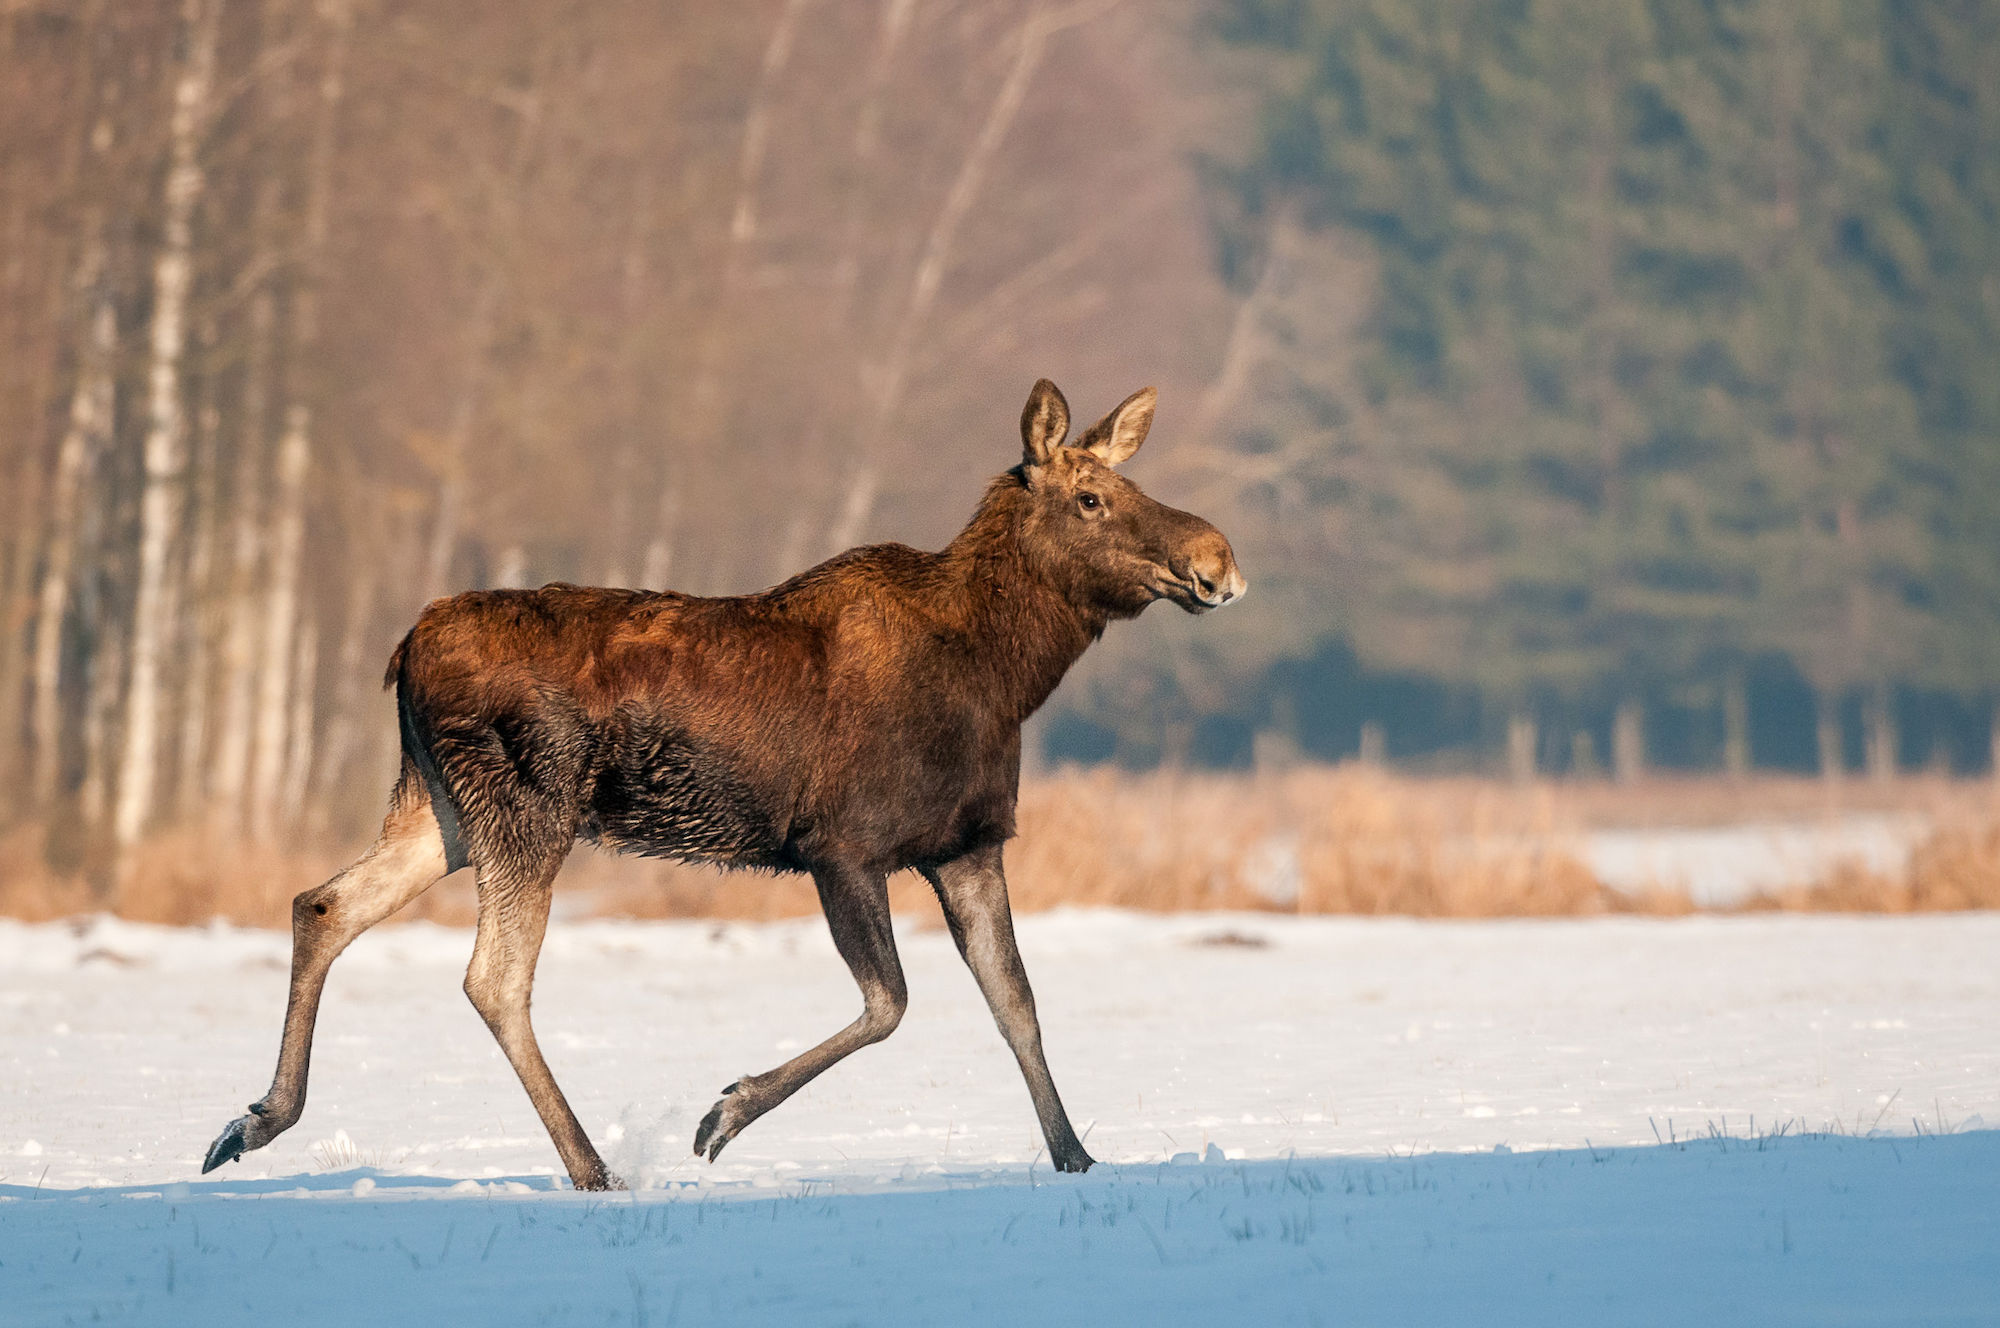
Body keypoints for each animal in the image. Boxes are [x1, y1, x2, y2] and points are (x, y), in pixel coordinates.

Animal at [201, 379, 1245, 1190]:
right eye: (1090, 499)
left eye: (1129, 483)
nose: (1218, 559)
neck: (1005, 670)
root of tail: (403, 650)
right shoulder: (842, 845)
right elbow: (892, 1003)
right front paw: (724, 1113)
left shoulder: (968, 846)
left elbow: (1017, 1006)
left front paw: (1079, 1160)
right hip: (528, 806)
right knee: (492, 976)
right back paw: (593, 1167)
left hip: (444, 811)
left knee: (323, 904)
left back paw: (253, 1120)